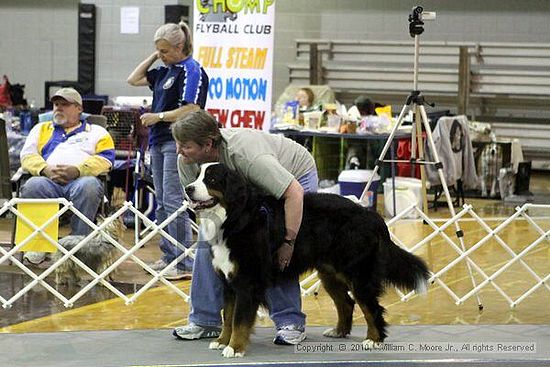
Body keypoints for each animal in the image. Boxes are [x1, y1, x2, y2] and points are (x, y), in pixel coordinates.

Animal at [185, 162, 432, 358]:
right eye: (197, 176)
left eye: (211, 179)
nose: (188, 189)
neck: (234, 218)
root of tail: (371, 215)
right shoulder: (228, 282)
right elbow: (227, 316)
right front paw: (222, 341)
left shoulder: (247, 282)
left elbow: (239, 319)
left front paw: (235, 348)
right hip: (330, 273)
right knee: (346, 303)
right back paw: (339, 331)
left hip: (358, 274)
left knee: (372, 307)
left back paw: (374, 339)